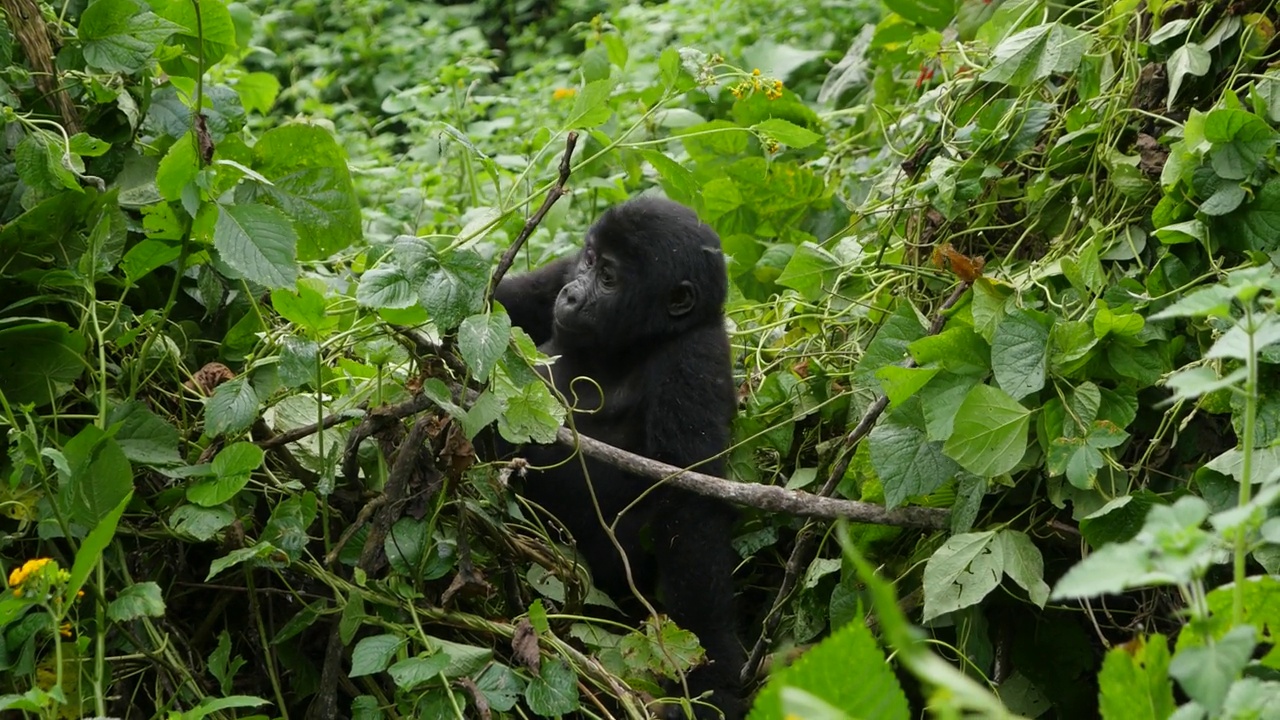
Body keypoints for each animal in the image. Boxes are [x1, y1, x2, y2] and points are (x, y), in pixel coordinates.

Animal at [494, 196, 747, 717]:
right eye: (589, 261)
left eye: (609, 278)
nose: (572, 295)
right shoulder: (560, 270)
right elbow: (500, 304)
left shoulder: (694, 358)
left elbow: (689, 515)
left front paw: (714, 678)